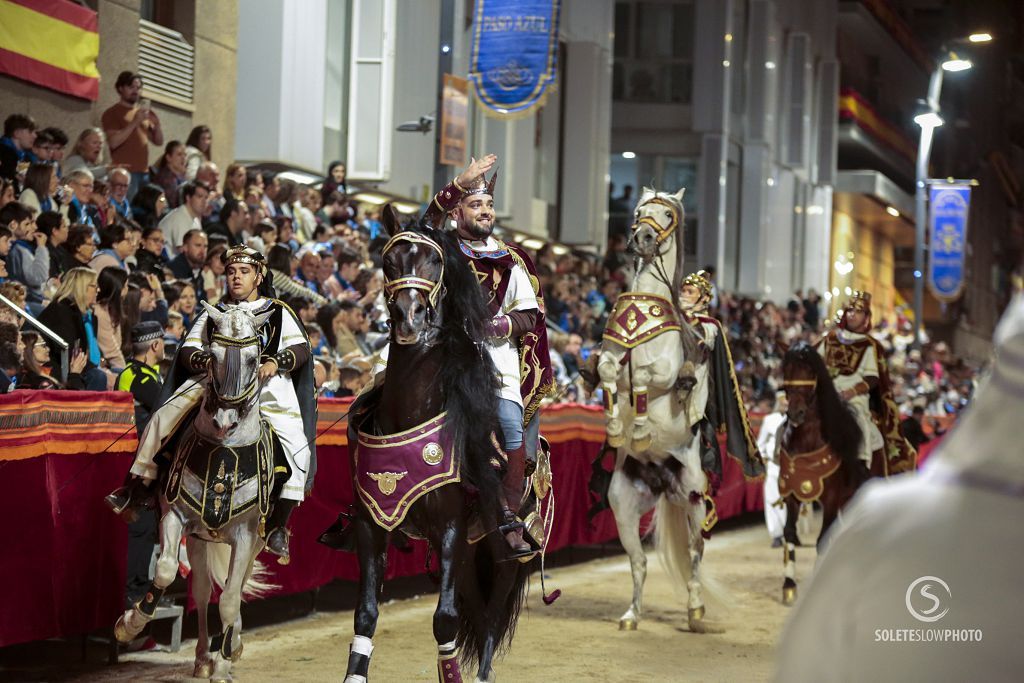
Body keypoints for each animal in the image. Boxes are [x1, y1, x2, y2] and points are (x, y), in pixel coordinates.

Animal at [598, 185, 716, 630]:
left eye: (667, 215)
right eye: (639, 211)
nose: (642, 238)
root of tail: (665, 481)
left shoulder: (665, 370)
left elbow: (647, 380)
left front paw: (641, 430)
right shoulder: (610, 355)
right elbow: (608, 373)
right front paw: (618, 428)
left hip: (696, 500)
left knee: (697, 554)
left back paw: (696, 611)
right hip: (623, 506)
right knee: (638, 562)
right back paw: (631, 615)